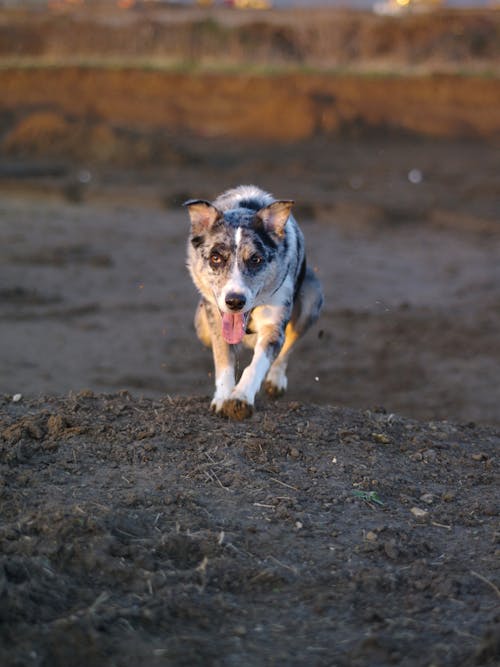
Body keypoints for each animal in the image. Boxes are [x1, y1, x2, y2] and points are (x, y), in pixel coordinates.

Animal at [185, 185, 324, 420]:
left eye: (256, 259)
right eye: (215, 258)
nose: (235, 301)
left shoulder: (274, 324)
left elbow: (259, 363)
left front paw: (239, 399)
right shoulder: (216, 319)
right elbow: (223, 358)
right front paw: (223, 396)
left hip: (311, 300)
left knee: (289, 344)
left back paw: (275, 380)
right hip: (201, 323)